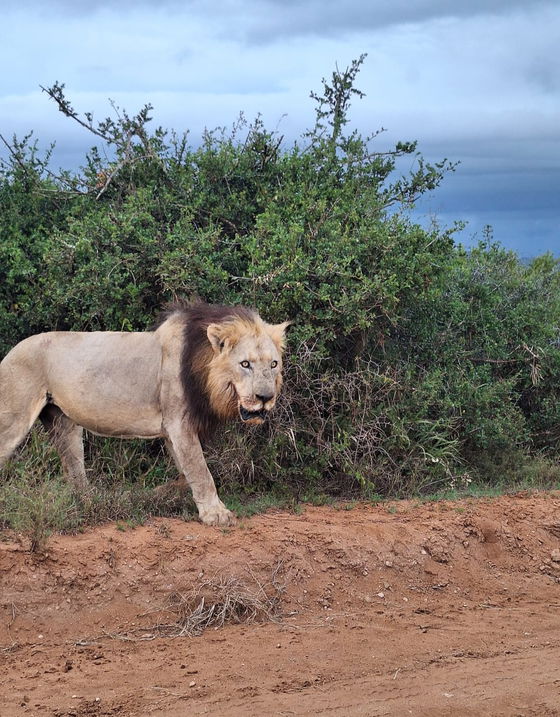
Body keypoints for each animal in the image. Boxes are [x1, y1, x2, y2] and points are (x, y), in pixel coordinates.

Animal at [0, 302, 290, 525]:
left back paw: (91, 501)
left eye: (273, 364)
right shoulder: (178, 423)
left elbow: (187, 473)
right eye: (245, 364)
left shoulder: (173, 430)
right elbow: (201, 470)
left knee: (74, 469)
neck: (204, 369)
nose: (265, 398)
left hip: (63, 423)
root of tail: (11, 351)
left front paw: (158, 493)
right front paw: (216, 514)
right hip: (14, 419)